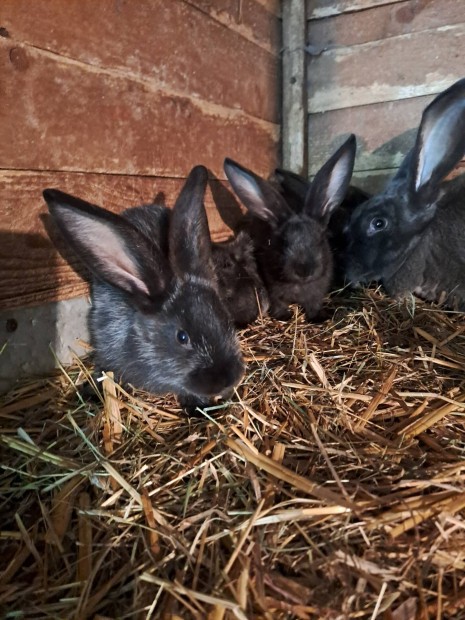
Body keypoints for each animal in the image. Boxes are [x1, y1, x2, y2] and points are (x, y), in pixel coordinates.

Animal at [224, 134, 356, 320]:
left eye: (321, 239)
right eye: (283, 242)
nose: (304, 270)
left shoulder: (317, 295)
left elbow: (314, 305)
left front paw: (318, 318)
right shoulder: (273, 291)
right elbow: (278, 303)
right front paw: (284, 316)